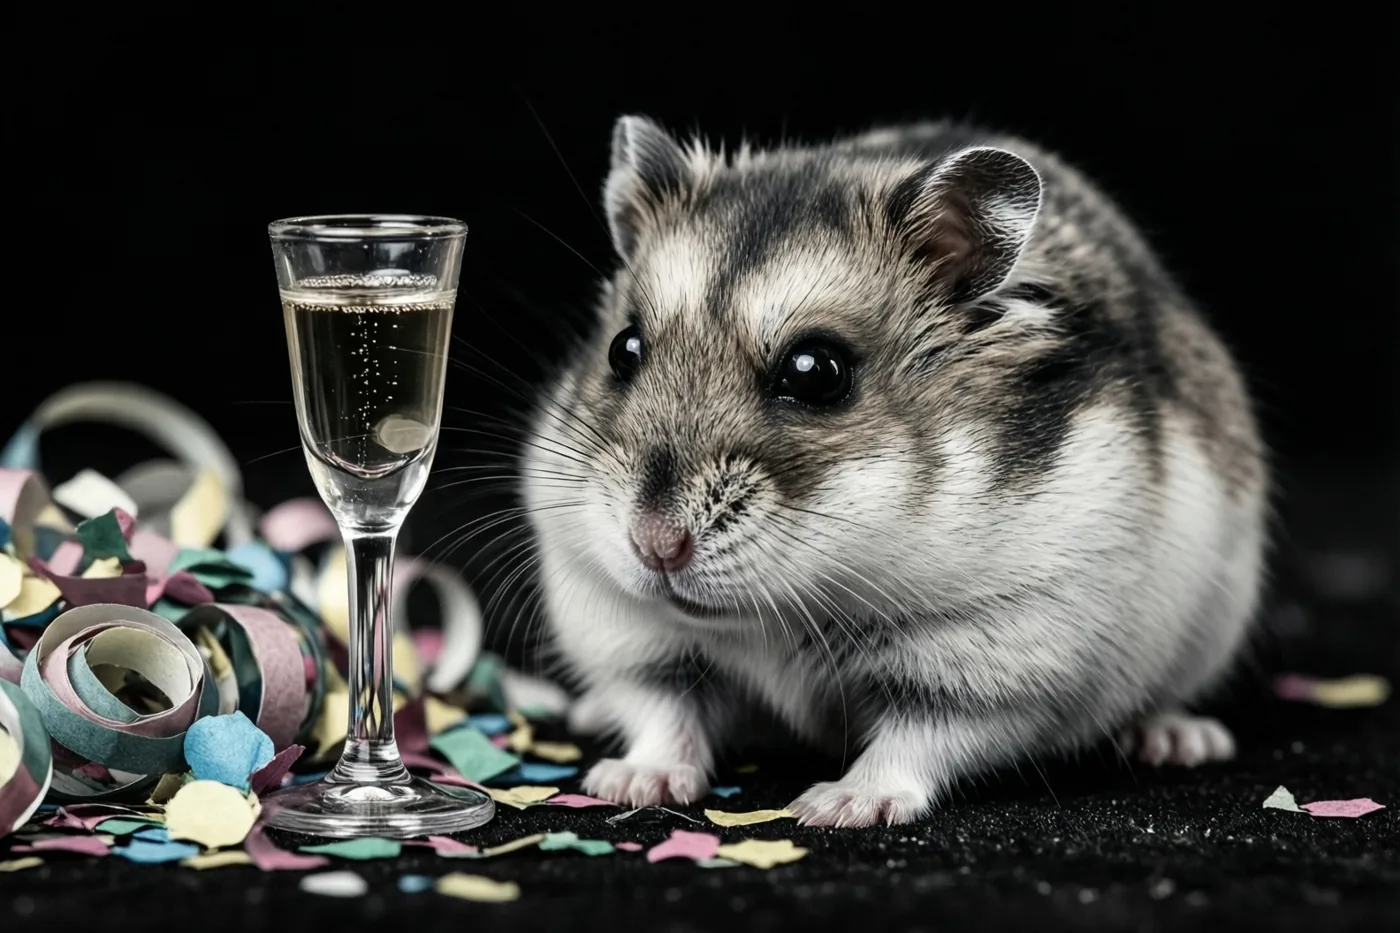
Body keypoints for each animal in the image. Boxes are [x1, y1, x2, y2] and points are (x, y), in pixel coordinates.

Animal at [520, 114, 1268, 827]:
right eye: (623, 349)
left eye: (816, 372)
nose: (654, 545)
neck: (783, 609)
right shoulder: (624, 623)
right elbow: (663, 710)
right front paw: (626, 783)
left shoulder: (1003, 653)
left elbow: (919, 738)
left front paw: (836, 807)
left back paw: (1179, 739)